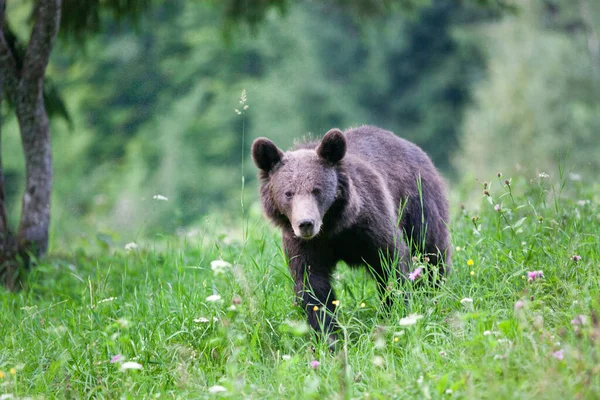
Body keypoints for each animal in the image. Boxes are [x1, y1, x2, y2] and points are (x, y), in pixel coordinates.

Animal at [251, 125, 452, 344]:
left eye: (316, 190)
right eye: (288, 193)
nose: (306, 224)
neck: (334, 227)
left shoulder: (371, 224)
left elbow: (391, 263)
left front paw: (393, 312)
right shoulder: (305, 246)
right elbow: (313, 286)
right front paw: (328, 336)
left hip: (419, 202)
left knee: (431, 251)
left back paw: (433, 292)